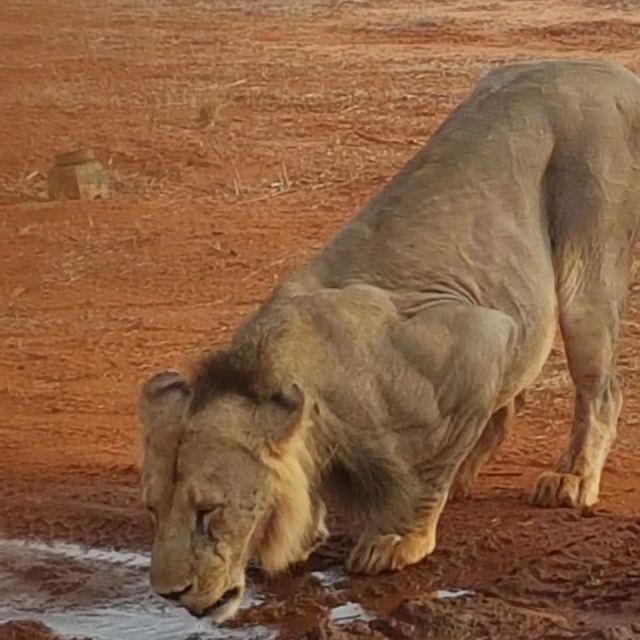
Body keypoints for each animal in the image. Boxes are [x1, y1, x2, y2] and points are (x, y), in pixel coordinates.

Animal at [137, 59, 640, 621]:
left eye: (209, 511)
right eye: (154, 509)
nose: (169, 593)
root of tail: (606, 67)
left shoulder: (482, 336)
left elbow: (428, 474)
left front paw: (400, 539)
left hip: (587, 266)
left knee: (601, 390)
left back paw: (570, 480)